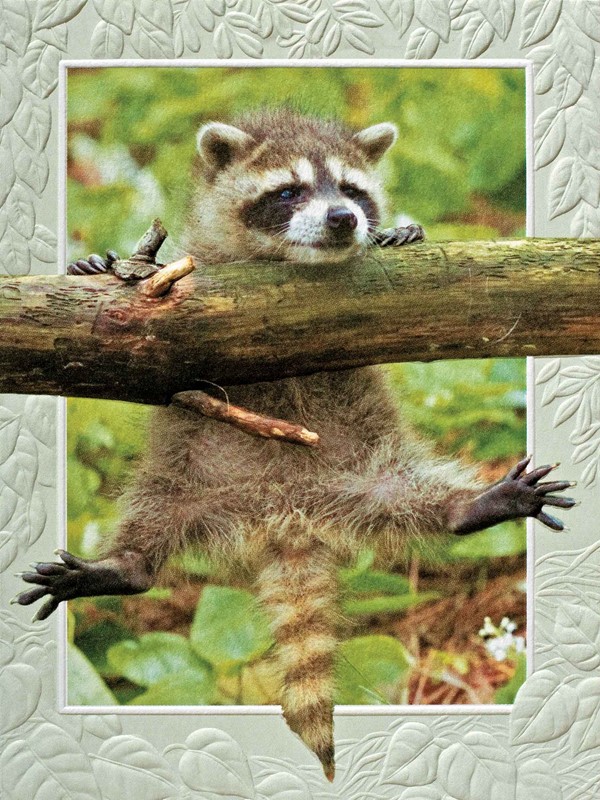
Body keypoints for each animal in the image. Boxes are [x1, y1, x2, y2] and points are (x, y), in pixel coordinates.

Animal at [17, 110, 575, 781]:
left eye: (352, 190)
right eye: (289, 192)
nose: (344, 219)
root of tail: (289, 512)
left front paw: (403, 231)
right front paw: (98, 266)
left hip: (370, 470)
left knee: (416, 497)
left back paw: (468, 506)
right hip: (184, 479)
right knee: (149, 524)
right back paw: (124, 564)